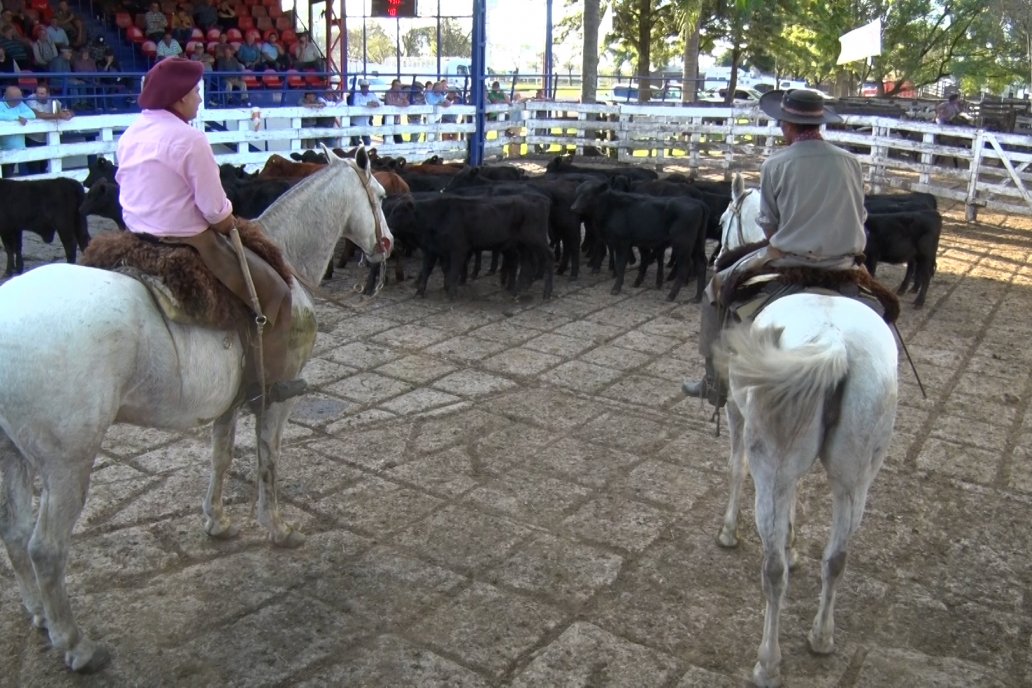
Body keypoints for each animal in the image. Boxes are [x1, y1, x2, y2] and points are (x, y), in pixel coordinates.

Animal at [0, 146, 392, 672]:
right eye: (382, 196)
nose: (387, 245)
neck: (287, 257)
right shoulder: (279, 400)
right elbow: (268, 458)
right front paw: (277, 527)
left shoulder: (229, 401)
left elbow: (221, 457)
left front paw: (216, 521)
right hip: (67, 466)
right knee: (45, 548)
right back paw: (76, 644)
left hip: (13, 454)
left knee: (15, 533)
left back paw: (41, 615)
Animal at [710, 175, 895, 684]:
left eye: (723, 218)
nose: (715, 257)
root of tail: (833, 342)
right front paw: (795, 543)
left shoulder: (737, 413)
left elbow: (734, 467)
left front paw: (729, 531)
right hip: (855, 475)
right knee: (837, 557)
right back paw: (821, 636)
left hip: (770, 461)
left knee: (772, 571)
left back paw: (768, 662)